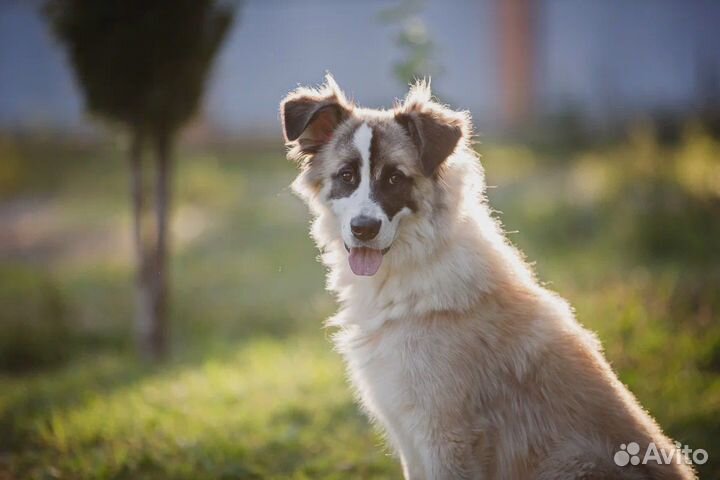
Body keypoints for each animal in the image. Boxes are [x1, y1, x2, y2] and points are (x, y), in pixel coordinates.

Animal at [278, 77, 696, 478]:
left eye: (395, 179)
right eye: (346, 176)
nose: (363, 229)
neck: (412, 270)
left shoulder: (446, 436)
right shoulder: (411, 438)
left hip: (570, 464)